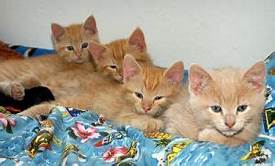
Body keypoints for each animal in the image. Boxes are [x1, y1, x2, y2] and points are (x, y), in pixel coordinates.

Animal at [18, 55, 183, 132]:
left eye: (158, 98)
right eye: (139, 95)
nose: (146, 107)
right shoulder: (122, 115)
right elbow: (133, 117)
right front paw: (153, 122)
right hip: (75, 101)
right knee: (47, 102)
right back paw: (22, 111)